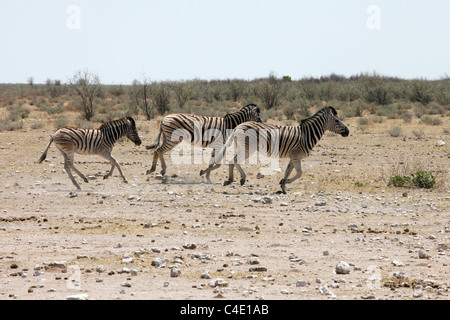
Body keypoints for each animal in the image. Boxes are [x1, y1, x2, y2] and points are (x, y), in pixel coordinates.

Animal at [200, 106, 352, 194]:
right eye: (337, 121)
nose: (347, 132)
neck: (306, 134)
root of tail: (239, 125)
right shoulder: (296, 156)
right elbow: (300, 173)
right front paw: (284, 183)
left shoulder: (293, 156)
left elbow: (288, 171)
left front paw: (283, 186)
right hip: (249, 148)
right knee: (233, 161)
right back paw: (235, 179)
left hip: (243, 146)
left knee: (233, 161)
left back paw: (234, 179)